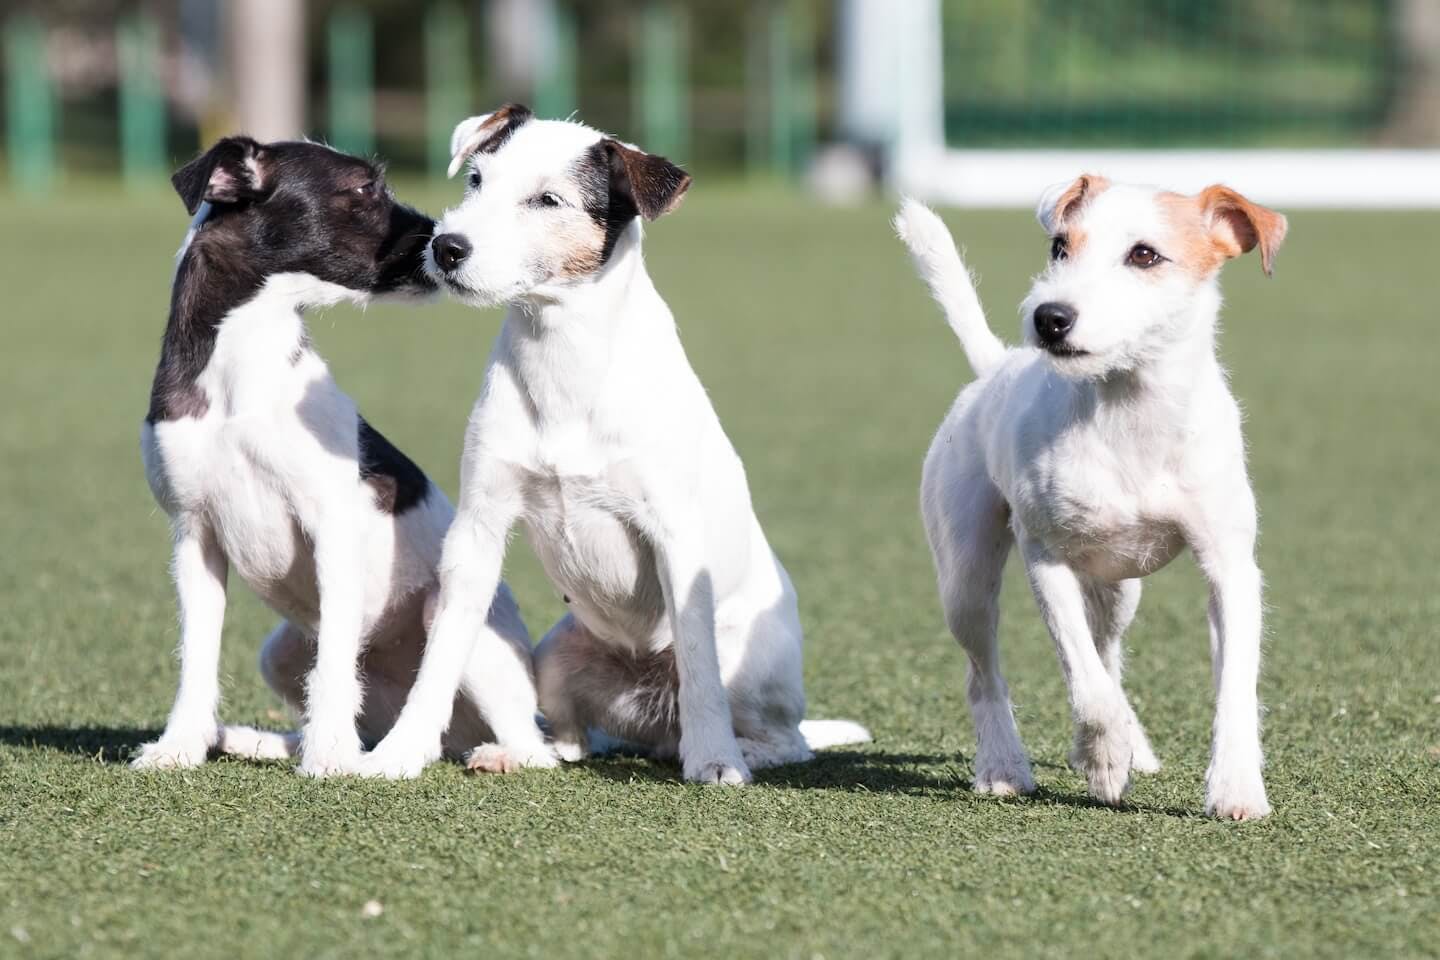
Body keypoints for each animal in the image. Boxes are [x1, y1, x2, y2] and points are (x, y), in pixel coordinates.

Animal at [132, 136, 538, 782]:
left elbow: (333, 668)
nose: (445, 244)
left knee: (541, 745)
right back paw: (264, 742)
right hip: (280, 651)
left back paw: (497, 754)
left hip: (455, 628)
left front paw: (329, 758)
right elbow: (196, 659)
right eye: (364, 188)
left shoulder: (332, 529)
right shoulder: (195, 536)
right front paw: (180, 746)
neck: (239, 376)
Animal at [358, 105, 864, 782]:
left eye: (548, 200)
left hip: (751, 661)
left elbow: (700, 671)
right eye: (475, 179)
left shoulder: (675, 536)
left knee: (779, 735)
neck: (564, 359)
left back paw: (734, 751)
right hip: (557, 655)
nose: (445, 246)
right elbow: (438, 660)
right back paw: (524, 752)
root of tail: (651, 718)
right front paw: (401, 751)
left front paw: (715, 762)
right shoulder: (479, 527)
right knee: (574, 739)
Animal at [892, 178, 1290, 817]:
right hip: (967, 579)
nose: (1049, 317)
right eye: (1059, 246)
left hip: (1117, 588)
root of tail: (996, 366)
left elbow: (1234, 687)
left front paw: (1235, 788)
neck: (1131, 411)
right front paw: (1104, 765)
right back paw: (1005, 766)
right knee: (988, 675)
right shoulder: (1046, 559)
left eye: (1145, 255)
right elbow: (1084, 682)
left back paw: (1135, 746)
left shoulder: (1230, 568)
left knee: (1109, 655)